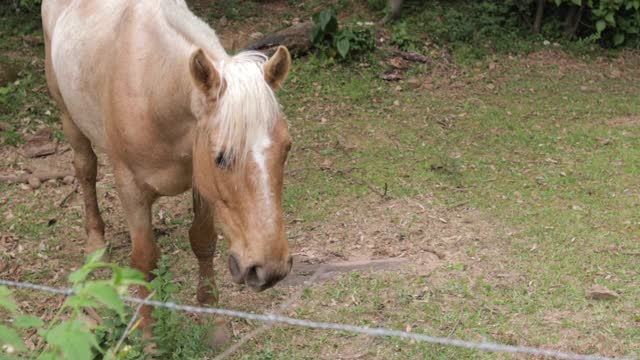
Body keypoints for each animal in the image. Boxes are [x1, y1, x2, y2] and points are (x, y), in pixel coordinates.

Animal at [43, 0, 294, 332]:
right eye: (221, 157)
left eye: (286, 149)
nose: (270, 269)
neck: (155, 92)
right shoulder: (132, 190)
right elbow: (144, 260)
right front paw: (148, 333)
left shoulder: (202, 181)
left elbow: (203, 241)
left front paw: (213, 323)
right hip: (68, 117)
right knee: (86, 169)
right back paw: (95, 242)